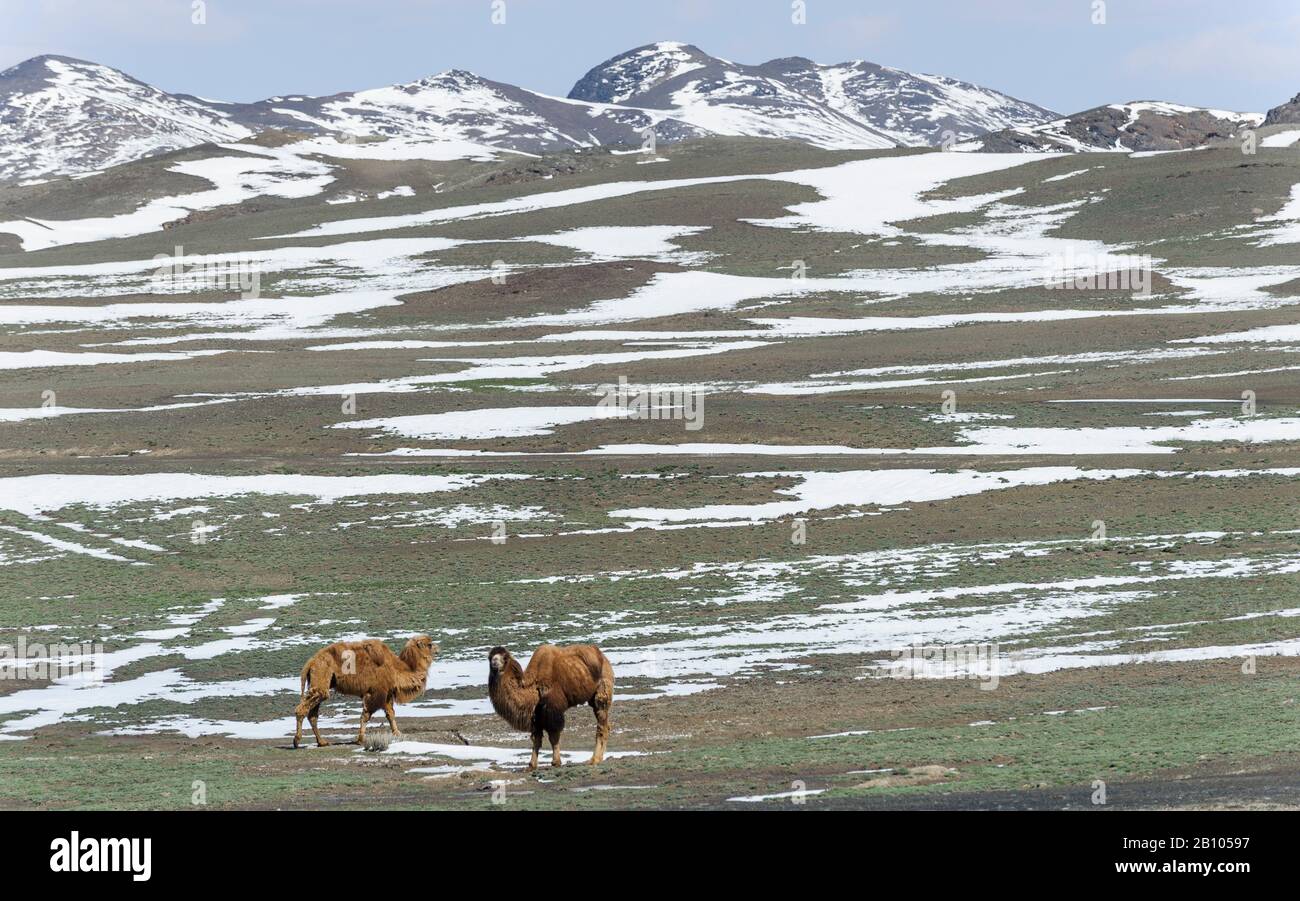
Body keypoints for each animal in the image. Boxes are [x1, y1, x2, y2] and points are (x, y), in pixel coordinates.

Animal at [293, 635, 437, 748]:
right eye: (430, 644)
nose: (438, 648)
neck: (397, 669)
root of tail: (310, 662)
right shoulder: (376, 693)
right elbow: (366, 715)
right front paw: (361, 739)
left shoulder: (386, 694)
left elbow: (390, 714)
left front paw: (397, 733)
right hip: (321, 676)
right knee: (302, 709)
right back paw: (296, 741)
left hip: (319, 682)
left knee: (312, 714)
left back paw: (322, 742)